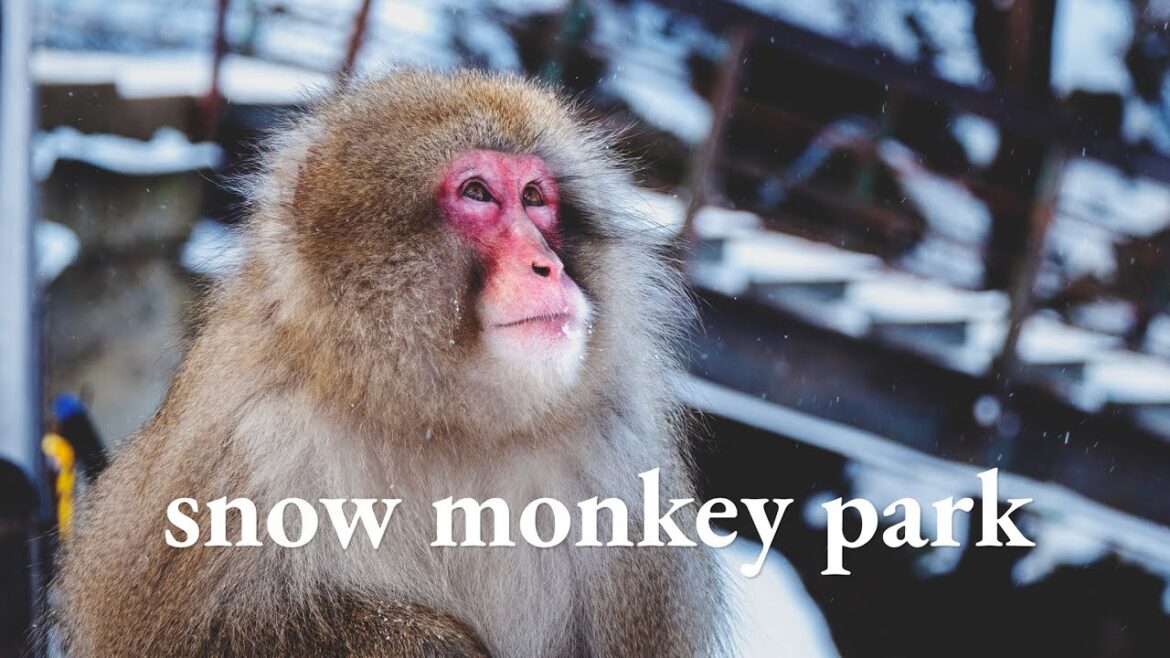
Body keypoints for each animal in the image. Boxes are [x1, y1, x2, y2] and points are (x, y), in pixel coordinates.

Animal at [53, 69, 727, 657]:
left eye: (536, 199)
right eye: (478, 192)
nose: (549, 266)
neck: (441, 420)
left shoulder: (625, 475)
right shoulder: (244, 440)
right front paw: (421, 641)